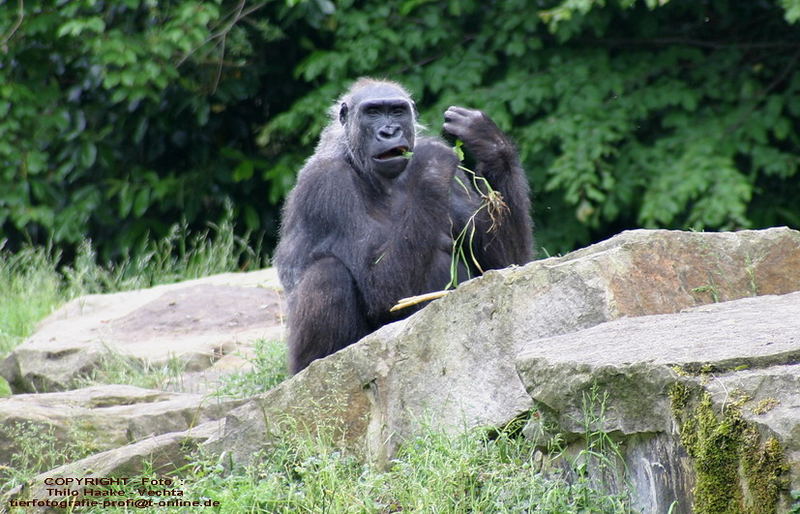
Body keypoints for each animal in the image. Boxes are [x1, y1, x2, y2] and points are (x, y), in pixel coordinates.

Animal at [274, 77, 532, 372]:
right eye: (373, 112)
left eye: (397, 112)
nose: (389, 131)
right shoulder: (325, 184)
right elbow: (382, 290)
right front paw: (432, 165)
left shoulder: (457, 182)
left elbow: (506, 264)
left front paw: (487, 141)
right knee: (327, 272)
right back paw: (321, 364)